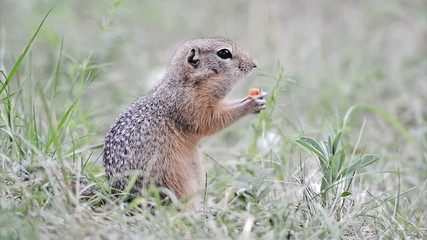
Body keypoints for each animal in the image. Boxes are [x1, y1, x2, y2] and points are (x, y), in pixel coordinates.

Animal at [103, 37, 268, 206]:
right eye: (224, 53)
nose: (254, 63)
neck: (187, 83)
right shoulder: (190, 106)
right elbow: (211, 122)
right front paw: (251, 104)